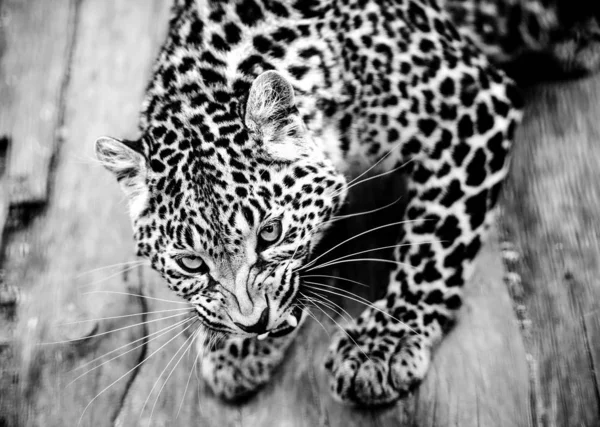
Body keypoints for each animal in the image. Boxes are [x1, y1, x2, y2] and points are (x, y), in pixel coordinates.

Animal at [94, 0, 600, 408]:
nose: (254, 324)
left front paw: (383, 344)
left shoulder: (471, 105)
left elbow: (435, 244)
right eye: (190, 263)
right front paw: (234, 349)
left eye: (271, 233)